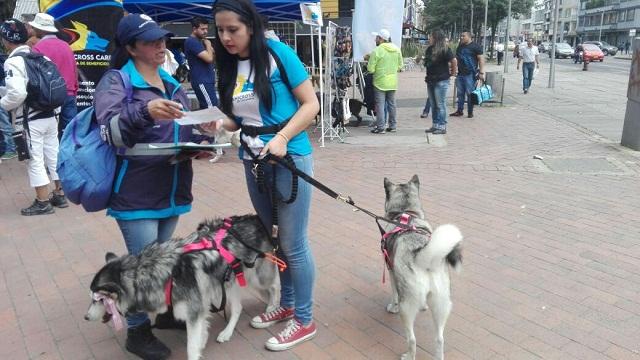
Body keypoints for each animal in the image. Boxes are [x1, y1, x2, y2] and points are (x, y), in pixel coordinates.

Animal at [84, 215, 278, 358]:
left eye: (98, 300)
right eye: (93, 299)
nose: (86, 317)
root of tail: (254, 217)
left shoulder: (194, 312)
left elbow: (191, 348)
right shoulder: (197, 309)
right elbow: (200, 334)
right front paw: (202, 341)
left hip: (256, 277)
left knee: (276, 282)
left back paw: (273, 307)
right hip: (228, 283)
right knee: (238, 308)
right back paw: (226, 333)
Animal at [382, 176, 462, 360]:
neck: (406, 212)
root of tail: (425, 260)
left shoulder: (391, 271)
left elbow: (394, 294)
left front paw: (392, 307)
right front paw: (423, 306)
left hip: (406, 308)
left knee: (412, 339)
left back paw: (408, 355)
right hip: (441, 304)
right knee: (439, 338)